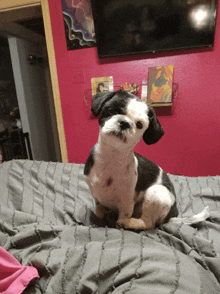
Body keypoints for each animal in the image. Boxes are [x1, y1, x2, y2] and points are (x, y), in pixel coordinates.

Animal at [84, 89, 210, 230]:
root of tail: (170, 217)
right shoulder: (96, 195)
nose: (125, 123)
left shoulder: (127, 203)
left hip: (156, 192)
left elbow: (124, 215)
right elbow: (99, 210)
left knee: (147, 223)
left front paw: (121, 222)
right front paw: (97, 217)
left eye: (139, 125)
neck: (111, 157)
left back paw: (131, 223)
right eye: (111, 111)